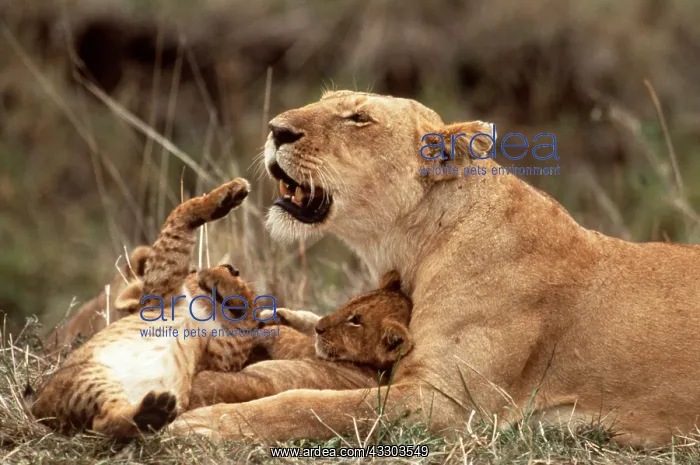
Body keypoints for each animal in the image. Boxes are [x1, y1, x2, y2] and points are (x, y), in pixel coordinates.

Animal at [169, 90, 700, 448]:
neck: (414, 246)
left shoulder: (444, 402)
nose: (276, 129)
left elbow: (313, 406)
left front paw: (204, 423)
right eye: (323, 102)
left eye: (358, 118)